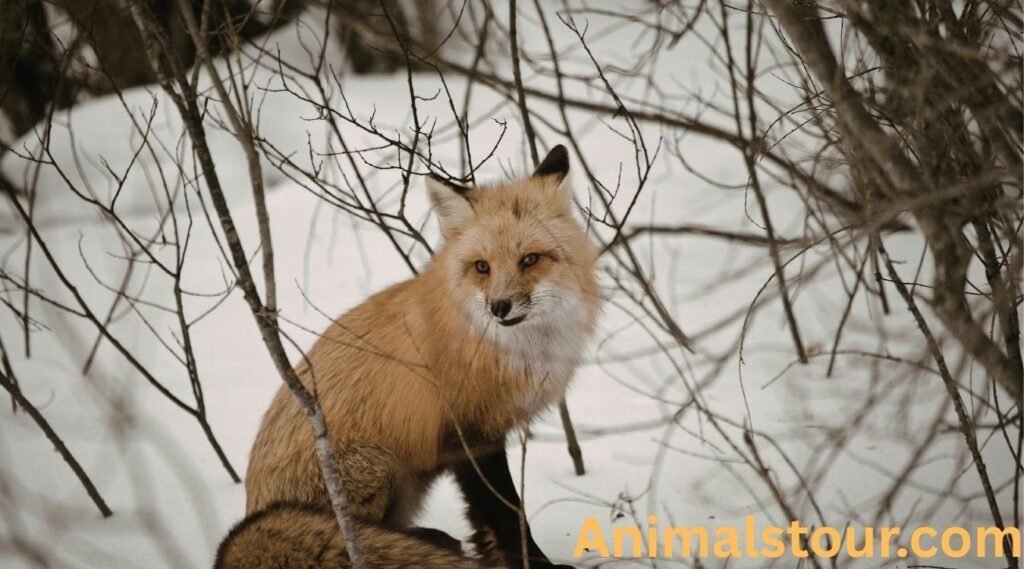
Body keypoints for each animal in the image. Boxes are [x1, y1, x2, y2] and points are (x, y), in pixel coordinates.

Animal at [224, 145, 600, 568]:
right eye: (482, 267)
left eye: (530, 259)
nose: (499, 307)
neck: (512, 350)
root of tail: (252, 506)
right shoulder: (469, 435)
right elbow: (507, 511)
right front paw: (533, 563)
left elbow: (486, 517)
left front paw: (491, 553)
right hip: (378, 465)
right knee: (364, 533)